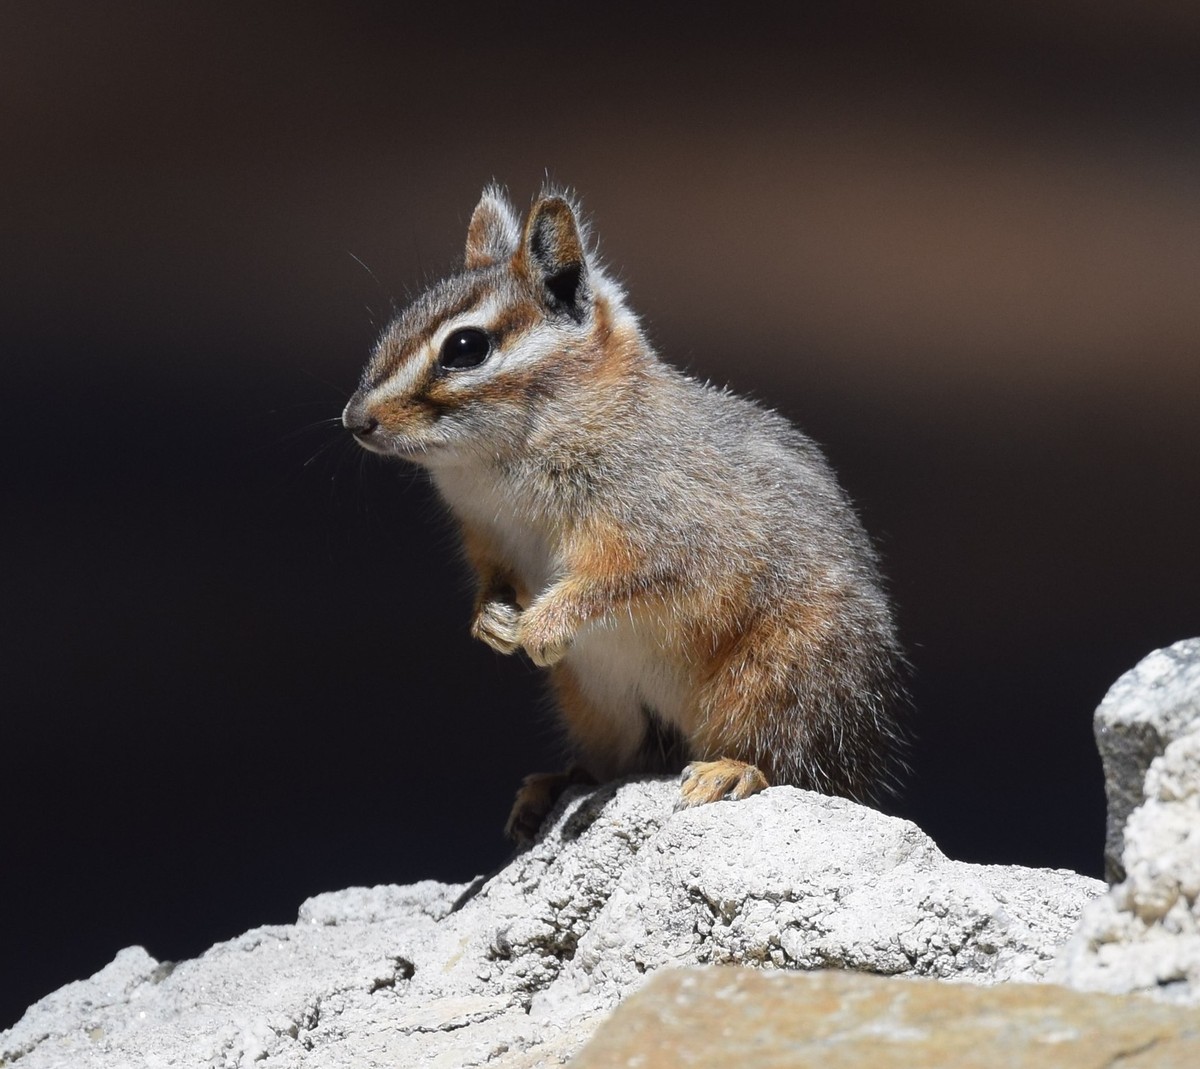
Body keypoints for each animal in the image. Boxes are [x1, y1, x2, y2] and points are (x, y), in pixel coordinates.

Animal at [343, 186, 907, 842]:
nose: (355, 420)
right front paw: (493, 623)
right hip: (596, 703)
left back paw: (733, 771)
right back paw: (558, 782)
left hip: (781, 677)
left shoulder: (663, 530)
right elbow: (493, 583)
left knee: (796, 764)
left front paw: (542, 626)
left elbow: (618, 579)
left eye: (465, 347)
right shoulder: (486, 539)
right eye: (397, 321)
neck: (496, 468)